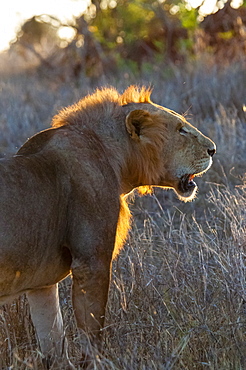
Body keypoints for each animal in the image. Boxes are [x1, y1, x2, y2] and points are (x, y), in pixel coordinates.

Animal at [0, 86, 215, 368]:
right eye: (180, 129)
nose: (213, 150)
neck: (116, 159)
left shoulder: (41, 284)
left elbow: (53, 341)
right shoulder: (91, 263)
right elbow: (92, 333)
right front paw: (97, 363)